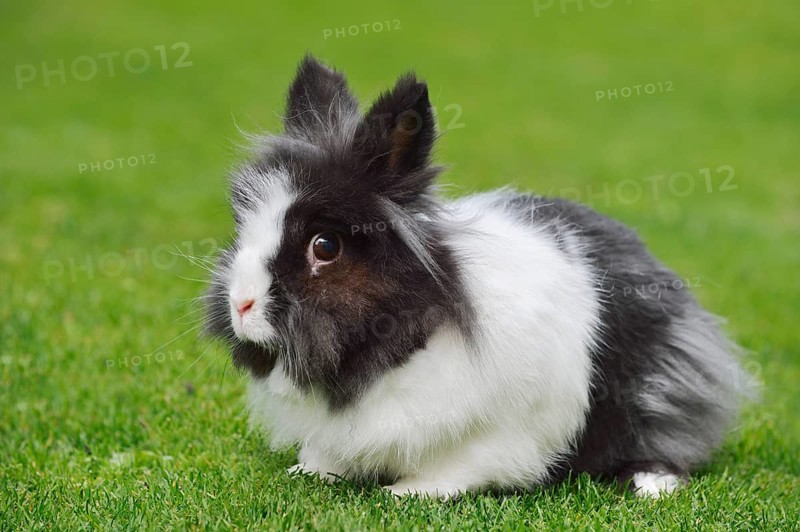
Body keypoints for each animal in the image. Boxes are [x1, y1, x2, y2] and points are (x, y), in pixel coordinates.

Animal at [204, 54, 748, 499]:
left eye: (325, 246)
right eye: (243, 227)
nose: (240, 305)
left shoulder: (501, 430)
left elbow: (461, 466)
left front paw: (406, 492)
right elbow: (326, 455)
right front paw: (309, 471)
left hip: (656, 386)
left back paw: (651, 485)